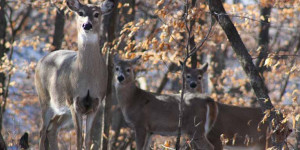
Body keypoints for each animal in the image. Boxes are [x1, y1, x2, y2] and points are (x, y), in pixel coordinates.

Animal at [34, 0, 114, 149]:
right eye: (80, 13)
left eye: (97, 14)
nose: (87, 25)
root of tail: (40, 61)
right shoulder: (73, 100)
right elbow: (78, 138)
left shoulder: (96, 102)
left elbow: (87, 140)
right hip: (45, 98)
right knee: (42, 130)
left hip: (63, 110)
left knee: (52, 128)